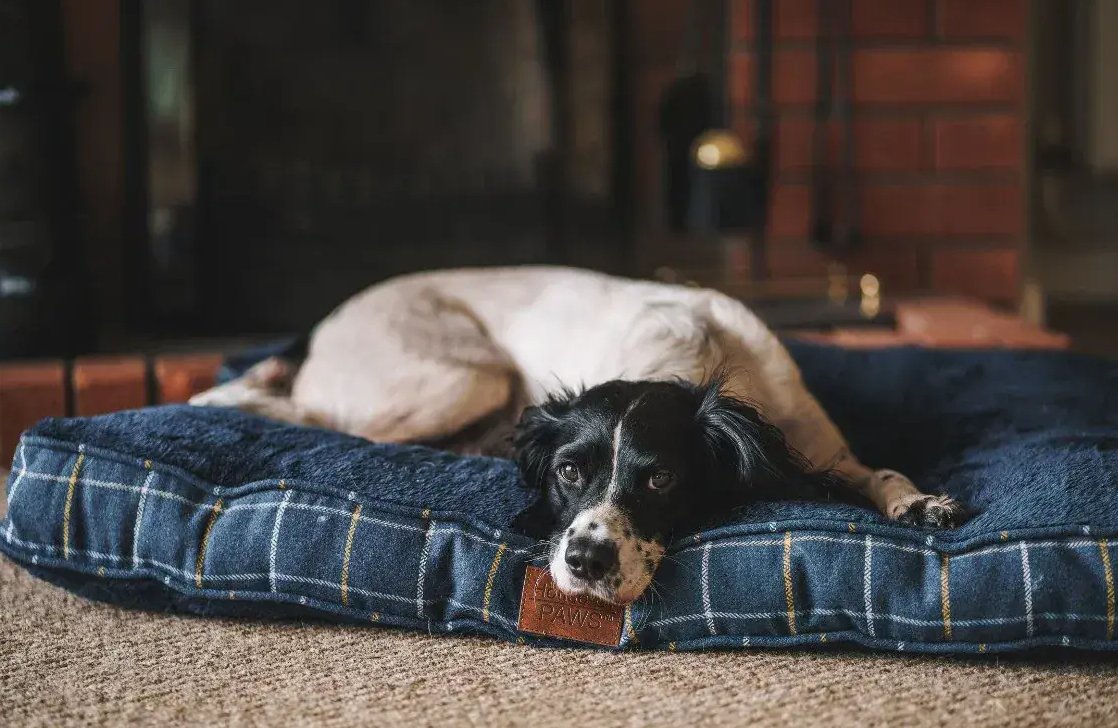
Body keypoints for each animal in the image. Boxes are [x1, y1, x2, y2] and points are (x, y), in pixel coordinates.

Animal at [187, 267, 965, 603]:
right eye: (567, 472)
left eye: (661, 478)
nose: (586, 561)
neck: (691, 349)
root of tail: (327, 322)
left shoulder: (820, 445)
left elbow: (876, 471)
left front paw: (919, 501)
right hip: (465, 378)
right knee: (303, 413)